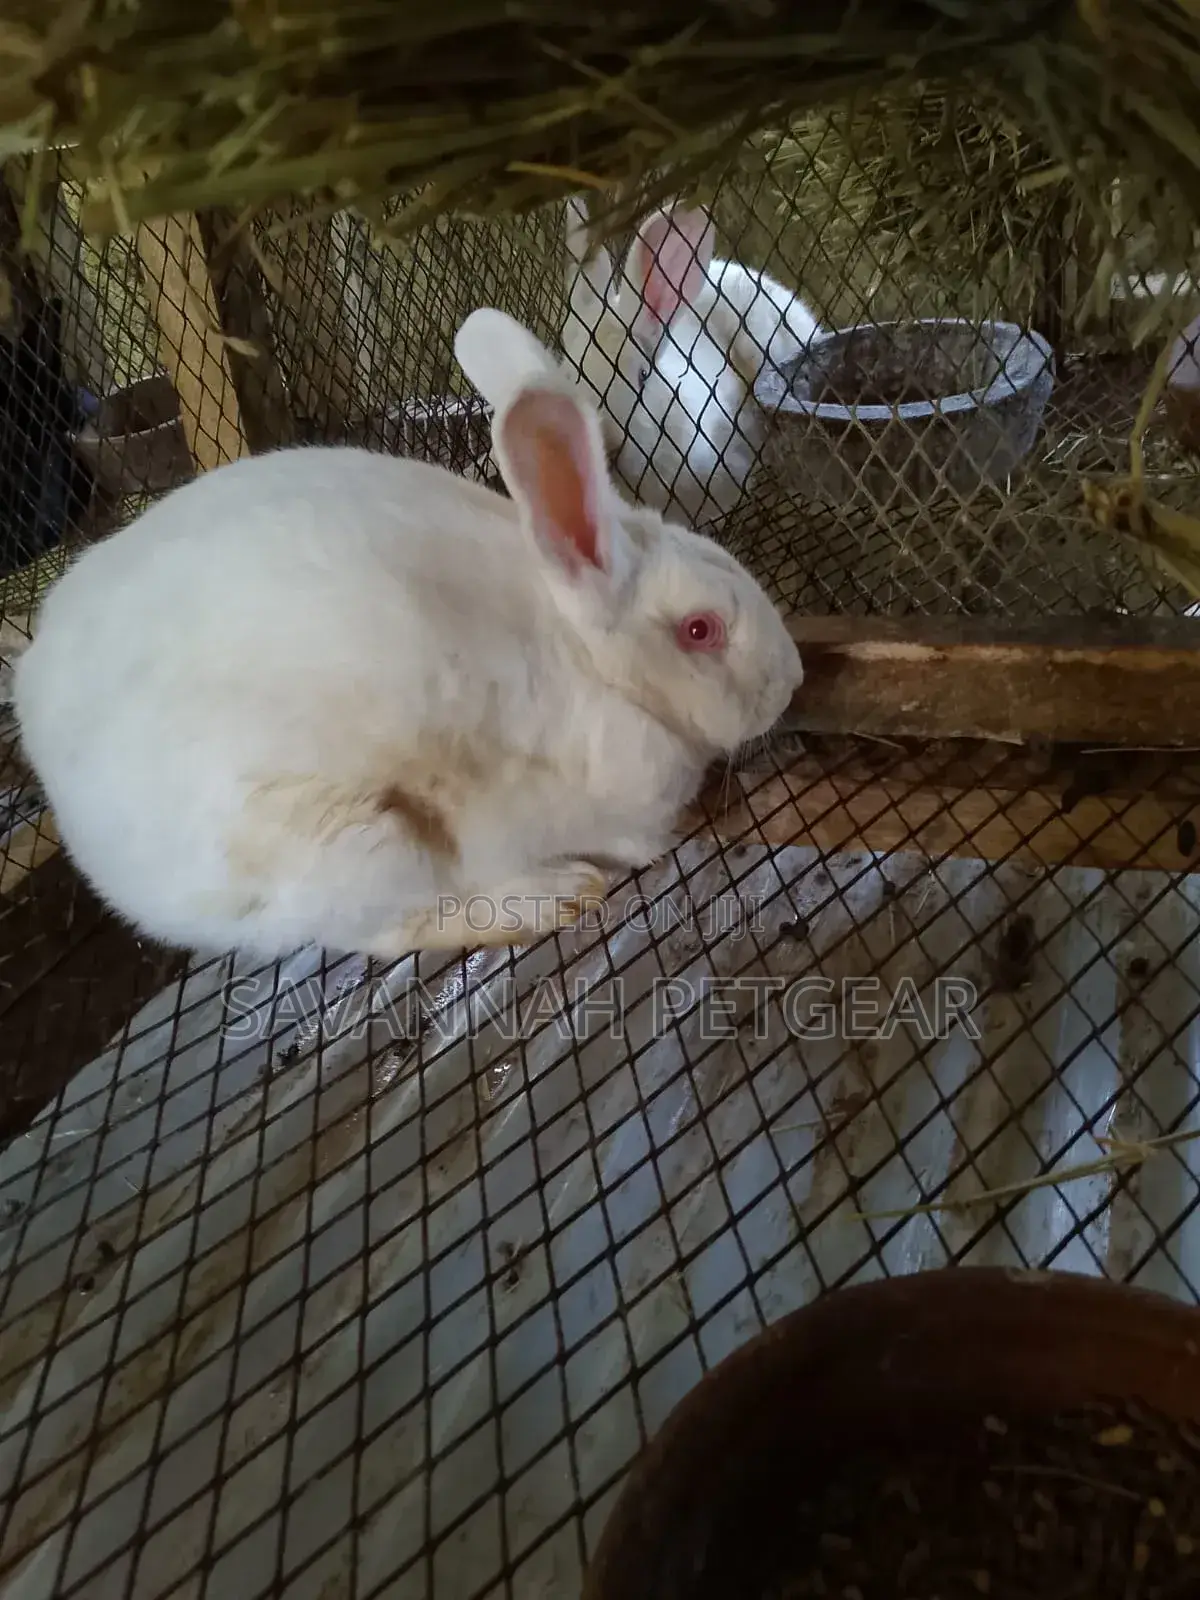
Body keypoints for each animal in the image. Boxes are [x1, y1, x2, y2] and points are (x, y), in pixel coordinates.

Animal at [10, 306, 804, 966]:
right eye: (700, 629)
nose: (792, 681)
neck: (589, 664)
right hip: (356, 850)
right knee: (390, 933)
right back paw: (556, 895)